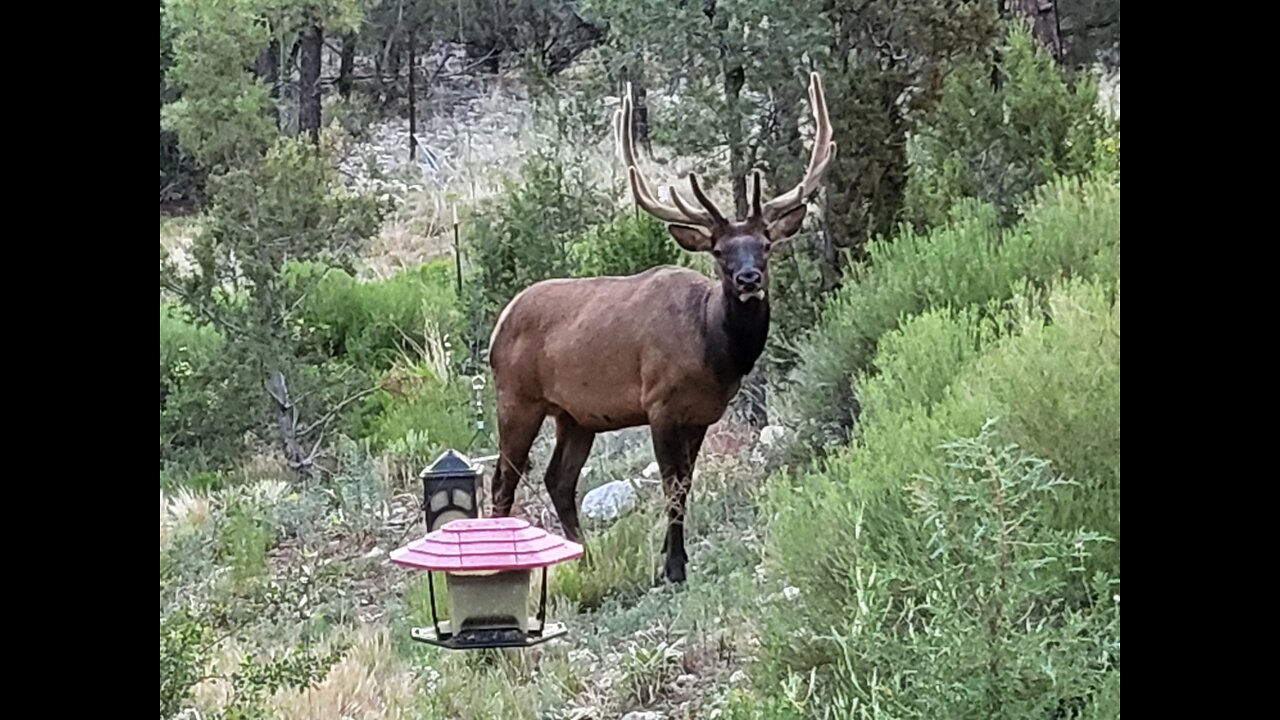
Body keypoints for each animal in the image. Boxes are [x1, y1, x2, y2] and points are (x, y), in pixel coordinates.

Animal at [486, 72, 836, 583]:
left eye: (766, 245)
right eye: (719, 252)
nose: (749, 279)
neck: (713, 351)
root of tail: (499, 325)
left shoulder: (702, 413)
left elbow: (685, 485)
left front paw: (674, 560)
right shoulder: (659, 403)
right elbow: (671, 486)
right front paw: (672, 567)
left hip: (575, 414)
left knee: (558, 479)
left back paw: (585, 559)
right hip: (517, 397)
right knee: (502, 482)